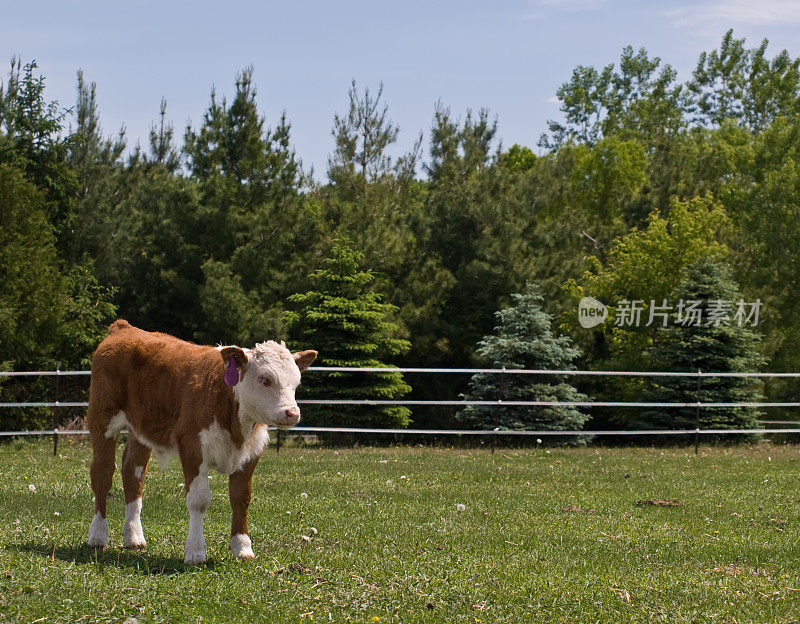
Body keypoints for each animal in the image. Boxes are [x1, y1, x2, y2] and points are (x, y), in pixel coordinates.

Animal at [84, 322, 316, 564]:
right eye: (265, 379)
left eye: (296, 383)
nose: (291, 413)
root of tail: (123, 328)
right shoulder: (193, 447)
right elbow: (199, 500)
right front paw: (195, 551)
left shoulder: (251, 452)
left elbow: (241, 498)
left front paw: (242, 547)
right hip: (101, 419)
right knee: (102, 474)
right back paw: (98, 535)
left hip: (140, 429)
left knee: (133, 473)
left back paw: (134, 537)